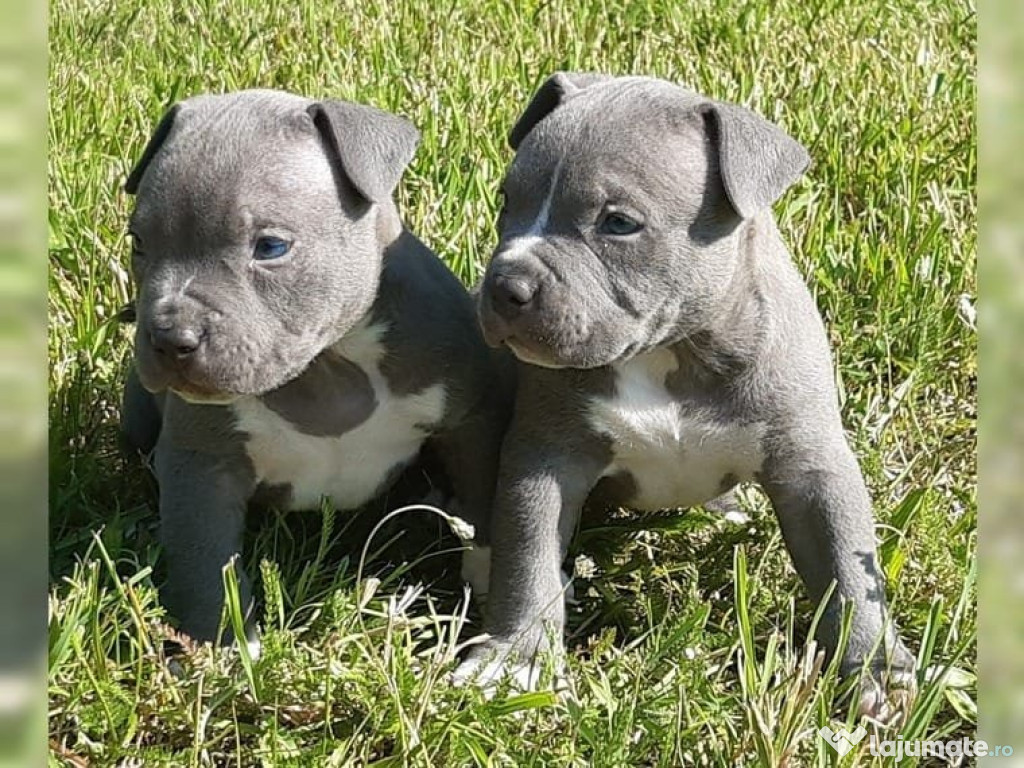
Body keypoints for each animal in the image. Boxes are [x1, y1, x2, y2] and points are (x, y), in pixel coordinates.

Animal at [121, 90, 509, 651]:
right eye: (138, 244)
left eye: (271, 247)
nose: (172, 337)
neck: (325, 366)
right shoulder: (201, 463)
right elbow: (204, 561)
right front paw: (220, 650)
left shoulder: (471, 419)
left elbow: (484, 500)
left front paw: (490, 582)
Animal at [456, 75, 913, 720]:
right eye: (505, 202)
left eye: (619, 223)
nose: (505, 285)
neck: (672, 351)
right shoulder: (544, 457)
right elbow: (529, 557)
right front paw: (515, 659)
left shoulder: (812, 466)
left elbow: (847, 563)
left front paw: (873, 669)